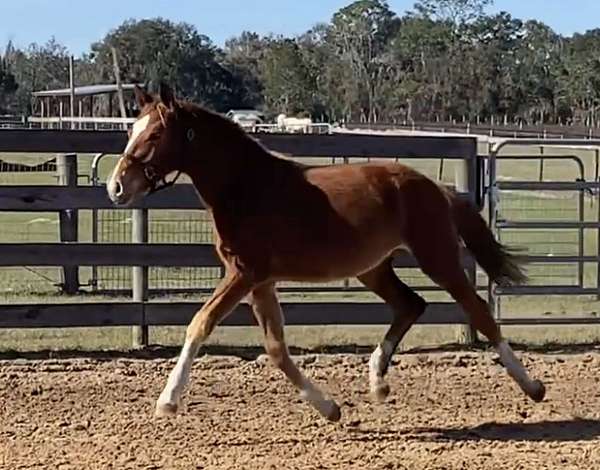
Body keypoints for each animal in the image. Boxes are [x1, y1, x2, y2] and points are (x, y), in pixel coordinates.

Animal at [105, 84, 548, 422]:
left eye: (154, 135)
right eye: (132, 132)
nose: (116, 187)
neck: (247, 187)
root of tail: (434, 186)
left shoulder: (243, 273)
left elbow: (199, 324)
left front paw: (168, 401)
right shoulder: (259, 281)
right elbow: (276, 349)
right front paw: (330, 408)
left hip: (437, 257)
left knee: (477, 310)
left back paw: (533, 386)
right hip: (374, 268)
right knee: (411, 305)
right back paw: (377, 382)